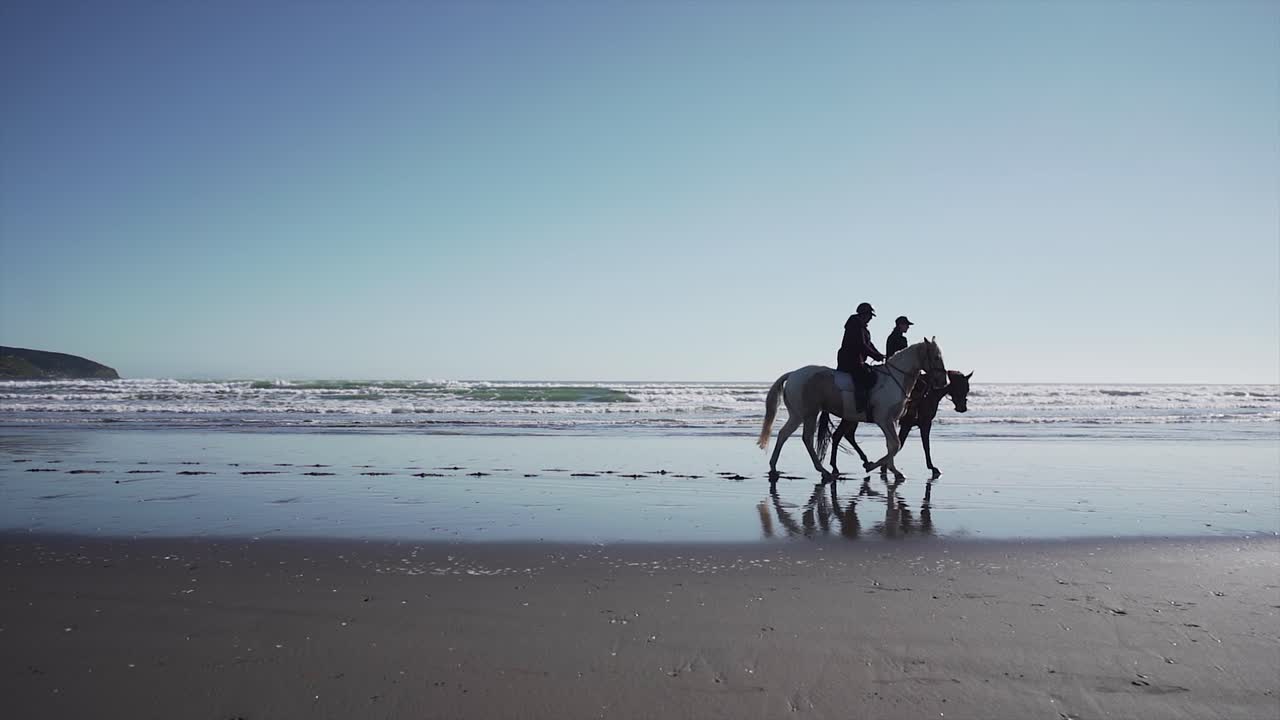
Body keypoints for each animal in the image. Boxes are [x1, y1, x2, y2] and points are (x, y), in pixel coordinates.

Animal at [757, 339, 947, 481]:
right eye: (936, 357)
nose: (943, 382)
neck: (895, 379)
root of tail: (793, 374)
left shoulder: (892, 421)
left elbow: (892, 445)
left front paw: (893, 470)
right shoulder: (884, 420)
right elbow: (895, 445)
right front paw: (873, 466)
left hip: (797, 415)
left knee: (783, 434)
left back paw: (774, 467)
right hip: (810, 414)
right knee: (807, 439)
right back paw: (824, 471)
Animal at [829, 370, 972, 478]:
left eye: (967, 388)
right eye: (960, 386)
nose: (962, 408)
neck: (928, 394)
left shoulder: (912, 425)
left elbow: (902, 444)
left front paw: (884, 466)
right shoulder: (920, 424)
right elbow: (921, 445)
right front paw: (932, 468)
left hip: (852, 418)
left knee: (847, 435)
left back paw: (864, 461)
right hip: (851, 418)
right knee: (838, 436)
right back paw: (836, 467)